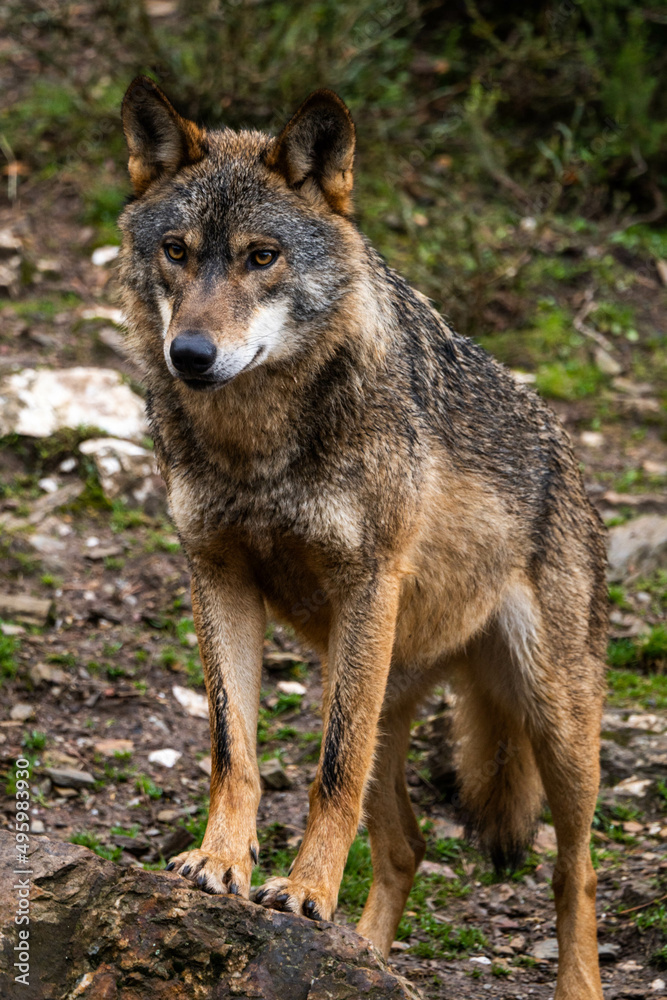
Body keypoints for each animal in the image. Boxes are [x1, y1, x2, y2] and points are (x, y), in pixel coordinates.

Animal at [117, 74, 608, 996]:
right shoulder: (216, 575)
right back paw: (369, 959)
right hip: (381, 687)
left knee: (574, 870)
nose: (189, 354)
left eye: (261, 256)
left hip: (552, 721)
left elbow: (328, 773)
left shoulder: (365, 584)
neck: (257, 445)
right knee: (407, 845)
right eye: (176, 250)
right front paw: (219, 862)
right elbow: (233, 750)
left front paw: (304, 893)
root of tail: (566, 453)